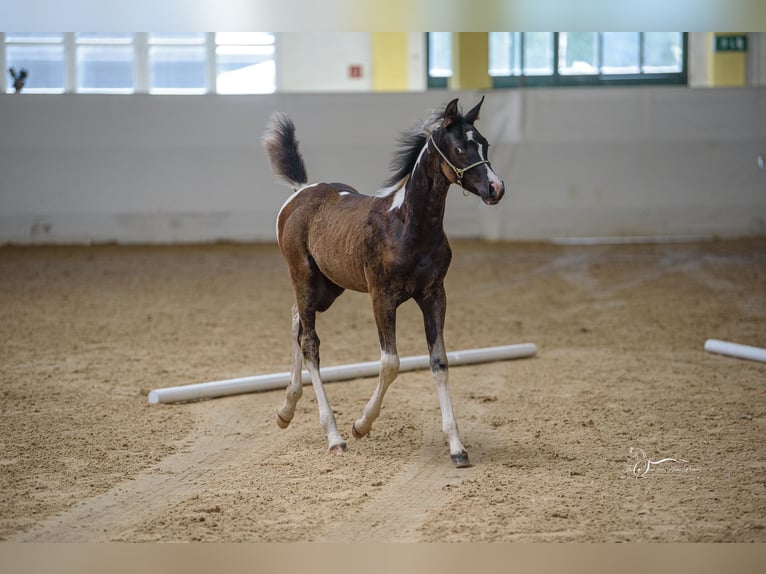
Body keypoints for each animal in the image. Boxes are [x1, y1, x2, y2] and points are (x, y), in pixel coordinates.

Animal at [260, 98, 508, 468]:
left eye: (484, 144)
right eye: (459, 148)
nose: (495, 188)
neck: (408, 227)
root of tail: (301, 191)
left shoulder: (434, 295)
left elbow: (439, 362)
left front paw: (457, 448)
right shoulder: (382, 297)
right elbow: (391, 363)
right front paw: (361, 425)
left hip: (329, 286)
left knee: (296, 321)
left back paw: (286, 411)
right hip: (302, 276)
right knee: (310, 343)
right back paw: (334, 436)